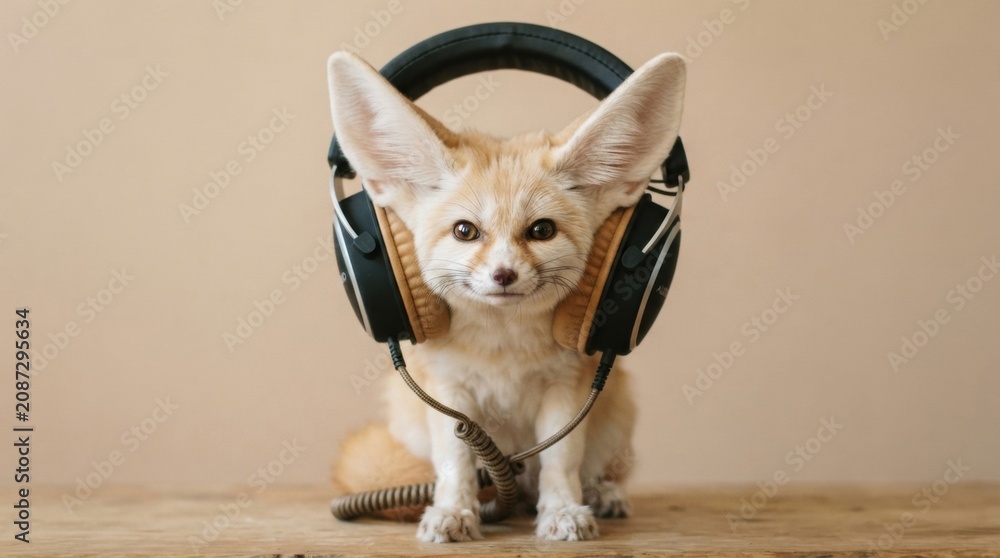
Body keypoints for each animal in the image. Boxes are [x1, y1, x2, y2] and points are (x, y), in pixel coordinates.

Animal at [326, 49, 686, 542]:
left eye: (541, 231)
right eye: (465, 231)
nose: (503, 274)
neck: (504, 350)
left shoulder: (566, 391)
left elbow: (561, 461)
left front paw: (562, 511)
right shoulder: (451, 394)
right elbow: (455, 464)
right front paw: (453, 512)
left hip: (615, 420)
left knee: (591, 470)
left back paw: (601, 493)